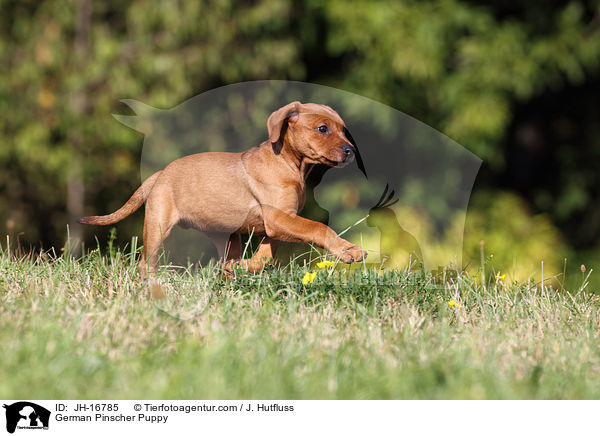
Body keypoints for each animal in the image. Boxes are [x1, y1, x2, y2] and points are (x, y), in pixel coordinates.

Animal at [79, 100, 368, 274]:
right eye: (322, 128)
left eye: (343, 130)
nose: (351, 151)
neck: (288, 163)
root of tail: (161, 173)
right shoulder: (278, 218)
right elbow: (318, 227)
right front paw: (349, 250)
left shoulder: (277, 224)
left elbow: (265, 257)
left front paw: (243, 267)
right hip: (157, 226)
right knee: (145, 264)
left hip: (228, 235)